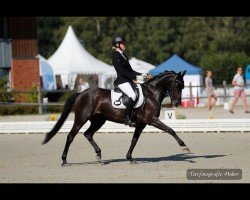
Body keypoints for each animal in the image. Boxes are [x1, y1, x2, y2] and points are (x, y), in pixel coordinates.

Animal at [42, 70, 189, 164]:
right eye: (177, 85)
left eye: (183, 86)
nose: (177, 103)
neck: (152, 93)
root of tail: (81, 93)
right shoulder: (151, 120)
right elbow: (170, 130)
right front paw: (184, 146)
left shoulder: (141, 124)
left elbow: (134, 140)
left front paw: (130, 158)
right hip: (81, 118)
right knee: (71, 136)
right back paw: (64, 160)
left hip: (99, 120)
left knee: (88, 134)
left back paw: (99, 154)